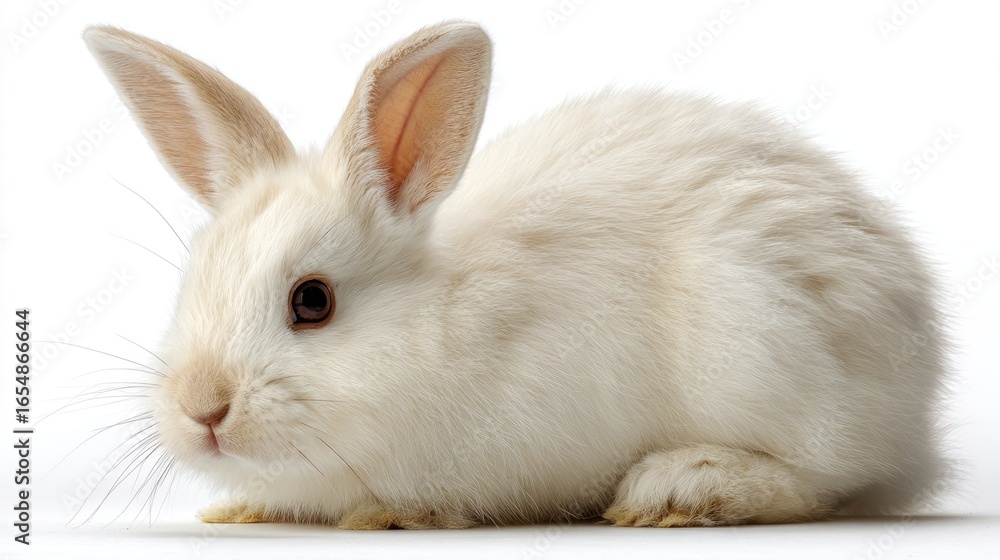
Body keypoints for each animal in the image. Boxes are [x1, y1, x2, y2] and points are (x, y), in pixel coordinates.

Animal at [82, 20, 950, 529]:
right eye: (190, 288)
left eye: (312, 302)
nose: (201, 410)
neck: (437, 318)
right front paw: (242, 510)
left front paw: (388, 516)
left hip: (770, 351)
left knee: (827, 482)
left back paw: (680, 489)